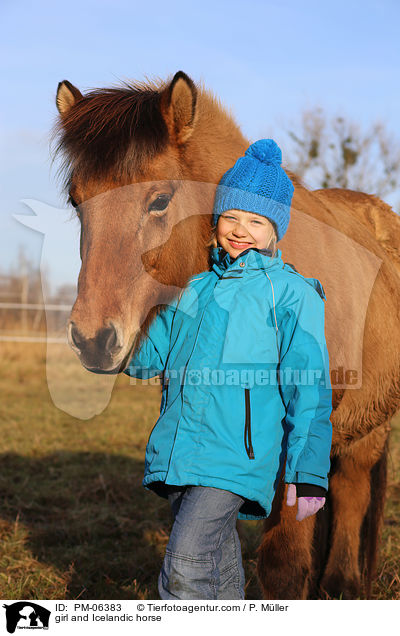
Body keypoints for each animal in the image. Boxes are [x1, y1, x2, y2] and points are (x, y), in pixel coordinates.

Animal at [53, 72, 400, 600]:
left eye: (160, 200)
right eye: (77, 202)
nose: (93, 337)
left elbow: (283, 566)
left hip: (367, 425)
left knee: (351, 489)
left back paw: (341, 584)